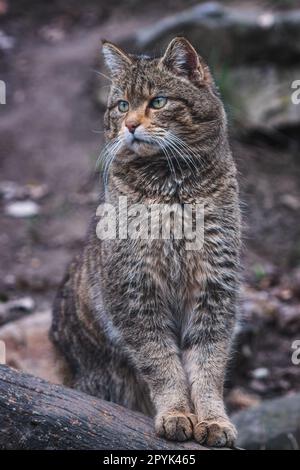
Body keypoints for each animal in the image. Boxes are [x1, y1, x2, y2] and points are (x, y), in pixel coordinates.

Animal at [49, 36, 241, 448]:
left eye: (158, 101)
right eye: (122, 105)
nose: (130, 124)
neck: (172, 191)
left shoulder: (214, 291)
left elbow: (209, 367)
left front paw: (214, 420)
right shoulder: (135, 293)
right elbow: (162, 364)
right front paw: (176, 414)